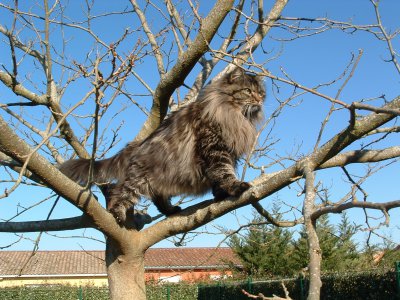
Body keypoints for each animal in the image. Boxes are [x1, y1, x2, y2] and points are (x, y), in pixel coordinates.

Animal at [60, 67, 266, 223]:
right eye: (248, 91)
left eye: (261, 93)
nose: (259, 100)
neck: (237, 116)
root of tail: (135, 145)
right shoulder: (215, 149)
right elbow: (224, 172)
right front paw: (235, 187)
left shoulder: (229, 153)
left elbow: (219, 177)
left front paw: (220, 193)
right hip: (138, 179)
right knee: (121, 192)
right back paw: (118, 213)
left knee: (157, 197)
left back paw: (170, 210)